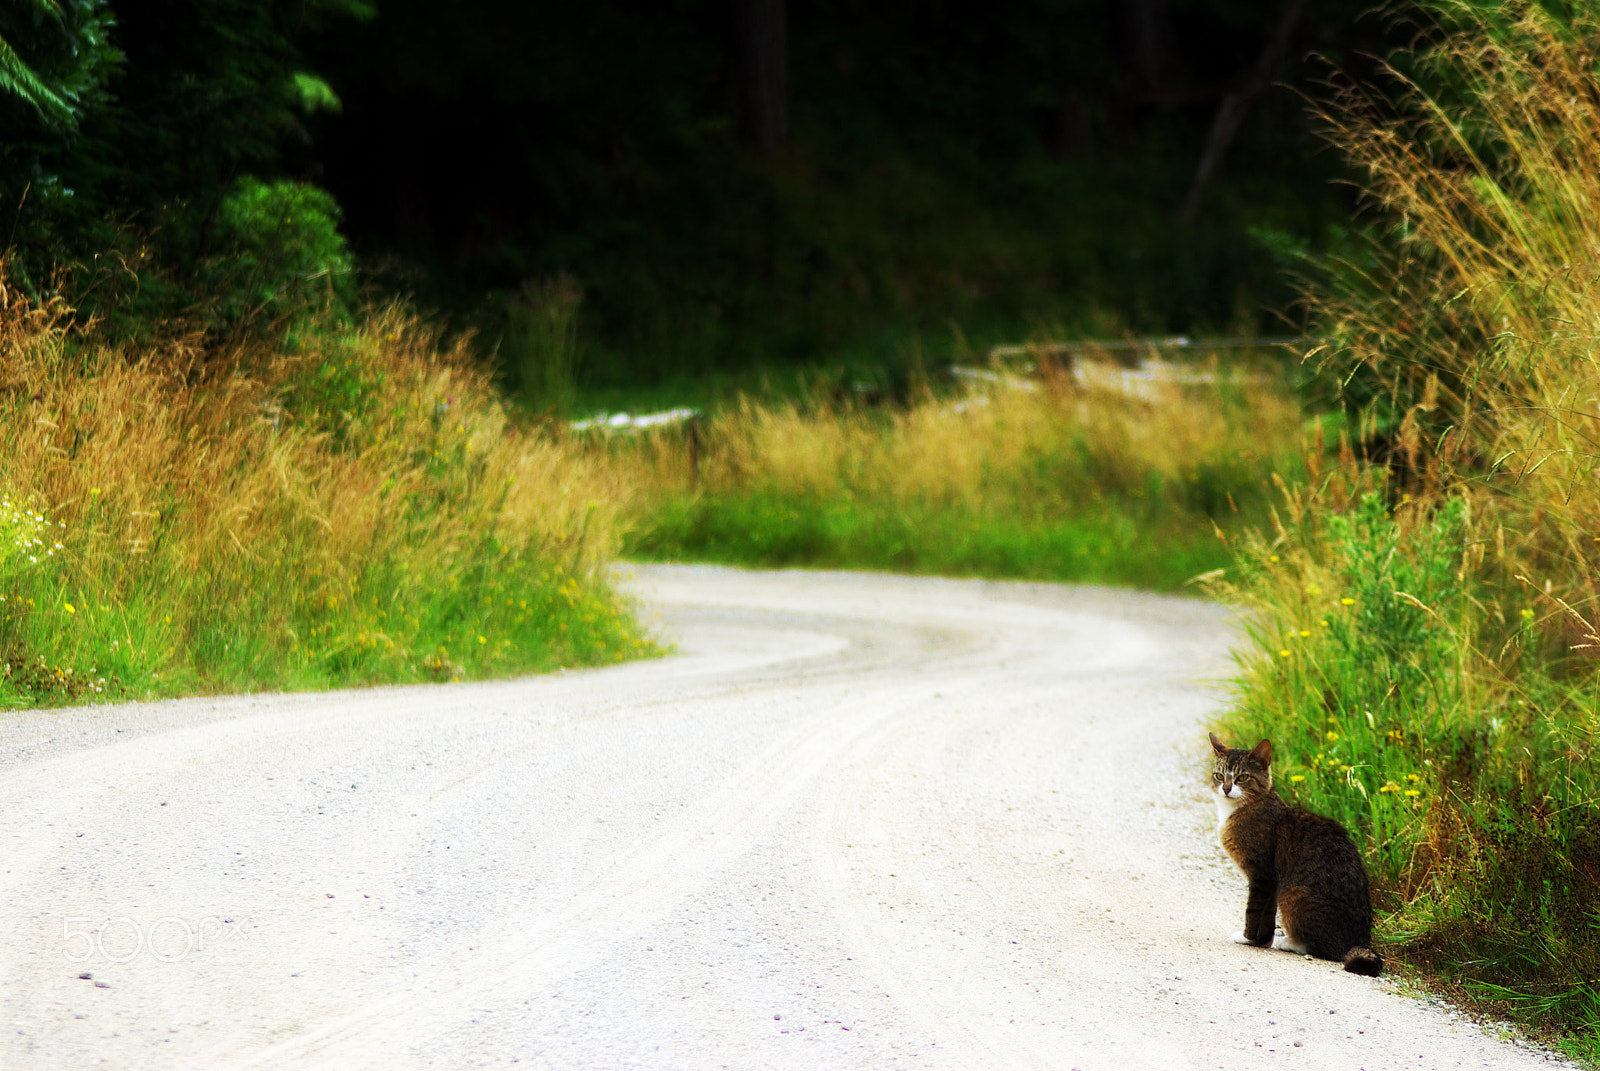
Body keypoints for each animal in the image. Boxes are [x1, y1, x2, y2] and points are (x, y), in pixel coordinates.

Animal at [1203, 730, 1382, 973]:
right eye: (1220, 776)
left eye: (1242, 777)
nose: (1226, 788)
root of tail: (1361, 940)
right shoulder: (1272, 882)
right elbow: (1267, 916)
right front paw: (1261, 941)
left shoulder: (1262, 875)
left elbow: (1253, 911)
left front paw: (1247, 938)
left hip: (1292, 893)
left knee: (1325, 950)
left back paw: (1292, 943)